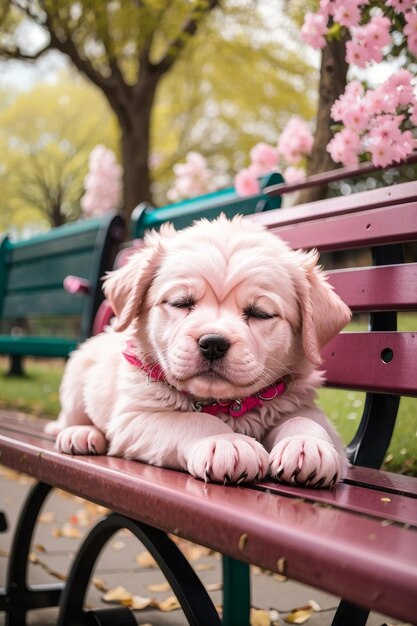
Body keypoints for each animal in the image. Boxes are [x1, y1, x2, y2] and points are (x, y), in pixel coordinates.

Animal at [45, 216, 350, 488]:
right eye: (181, 303)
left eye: (260, 313)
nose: (213, 343)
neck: (225, 404)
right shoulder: (133, 418)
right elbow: (194, 419)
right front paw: (228, 442)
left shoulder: (301, 403)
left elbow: (306, 420)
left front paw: (306, 444)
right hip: (76, 380)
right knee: (71, 418)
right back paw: (81, 434)